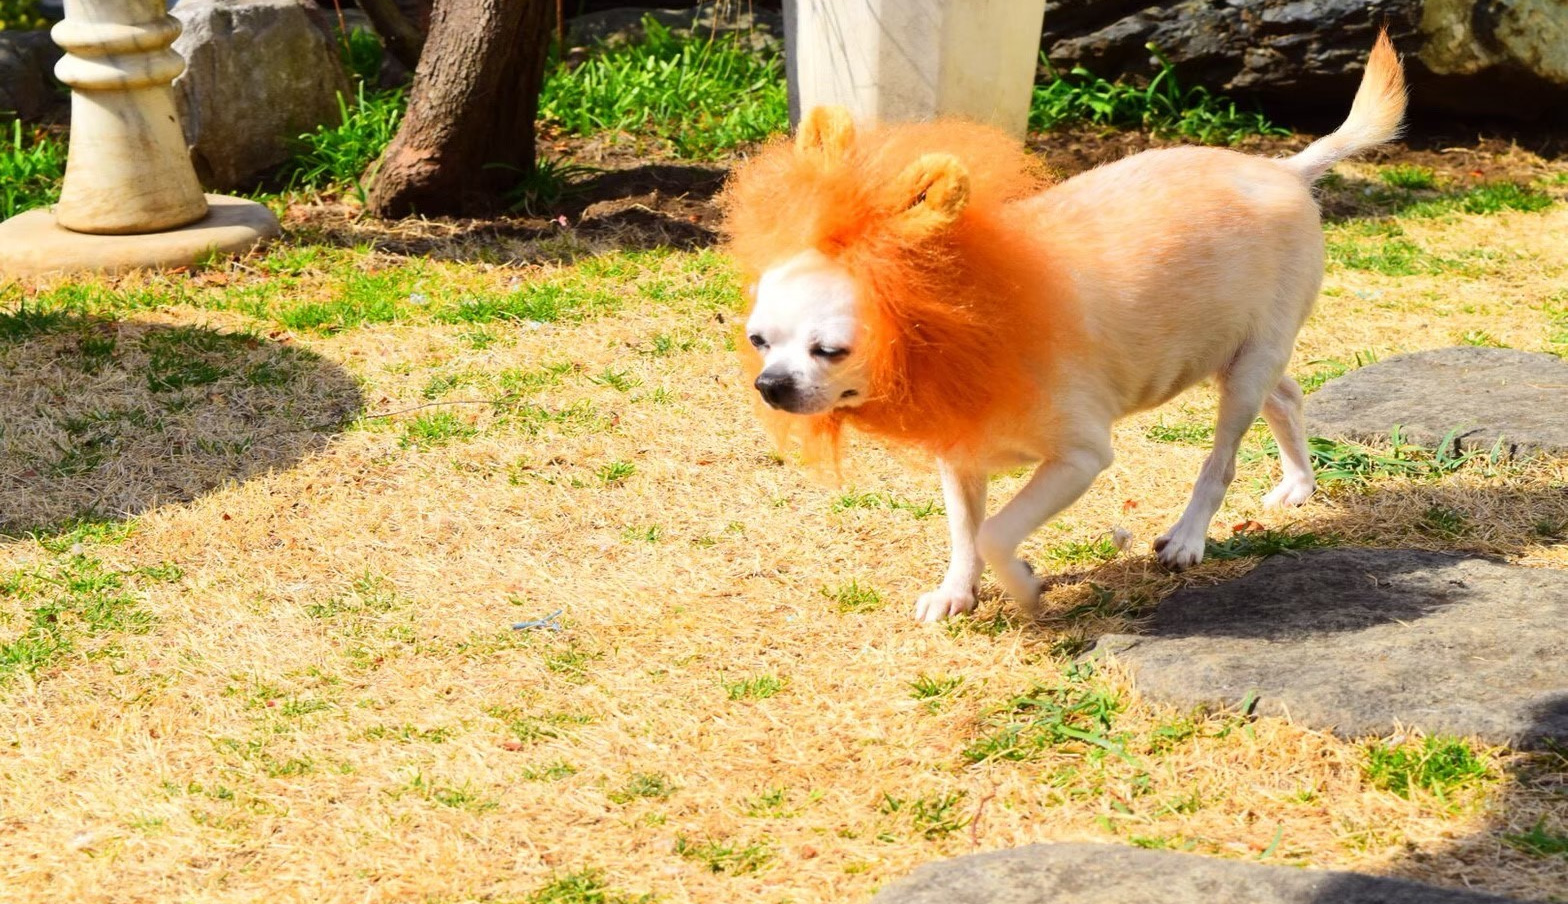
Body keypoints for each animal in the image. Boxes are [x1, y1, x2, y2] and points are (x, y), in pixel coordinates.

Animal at [722, 33, 1406, 622]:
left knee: (1223, 458)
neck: (962, 330)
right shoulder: (959, 454)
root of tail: (1286, 170)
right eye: (758, 342)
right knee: (1286, 396)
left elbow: (996, 531)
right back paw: (1298, 485)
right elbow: (965, 530)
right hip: (1239, 354)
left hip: (1244, 369)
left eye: (831, 350)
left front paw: (1022, 585)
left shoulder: (1079, 458)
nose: (770, 385)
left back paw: (1188, 537)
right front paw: (957, 592)